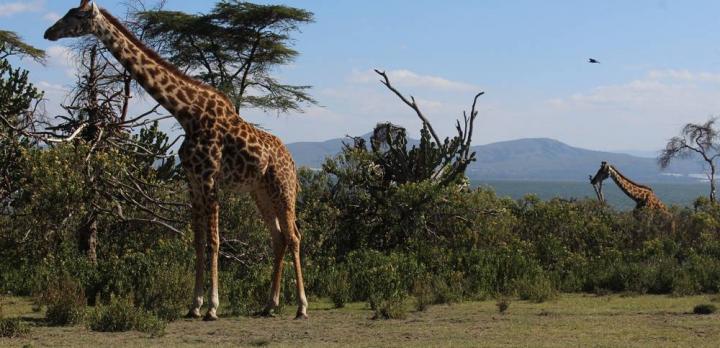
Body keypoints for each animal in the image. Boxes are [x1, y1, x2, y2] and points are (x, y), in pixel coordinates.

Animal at [44, 0, 310, 320]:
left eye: (77, 15)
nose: (48, 32)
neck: (186, 114)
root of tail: (291, 160)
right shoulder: (192, 181)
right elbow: (197, 242)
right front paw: (194, 305)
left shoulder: (209, 179)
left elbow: (214, 242)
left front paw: (212, 307)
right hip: (260, 192)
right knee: (278, 238)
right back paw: (270, 304)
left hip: (283, 188)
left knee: (294, 236)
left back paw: (301, 306)